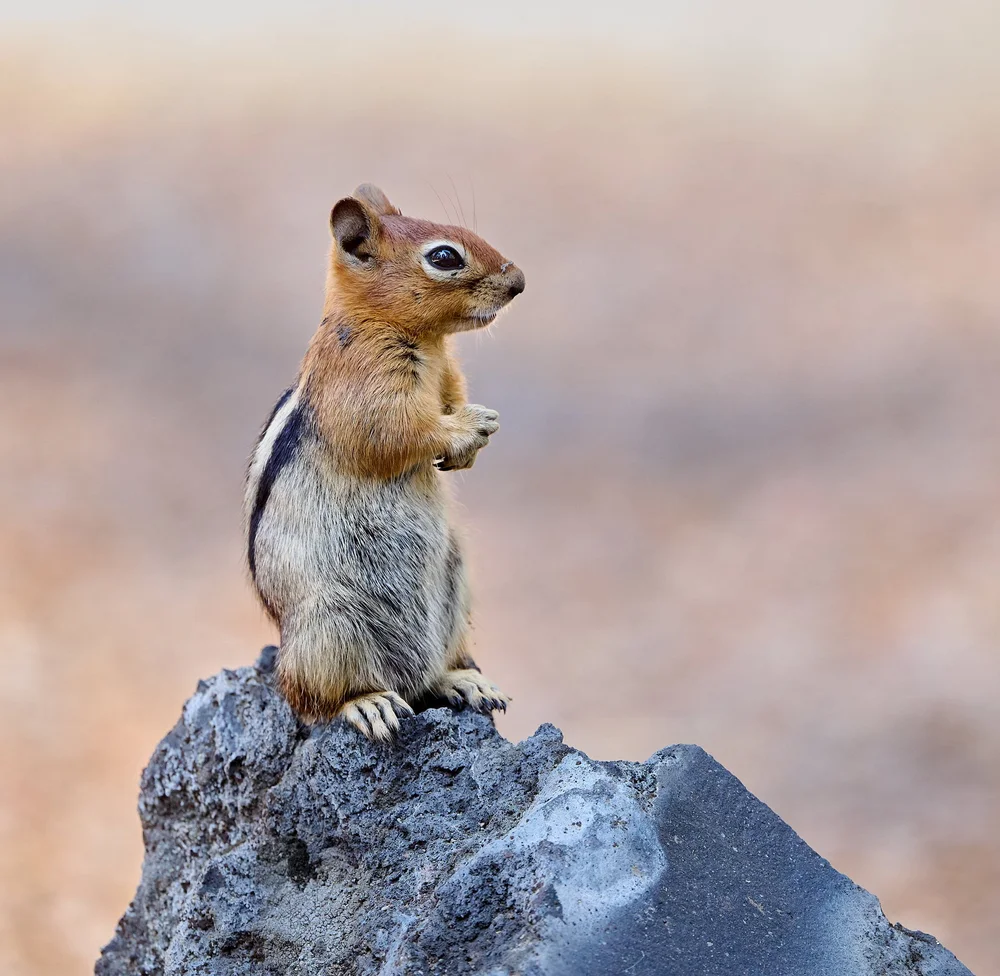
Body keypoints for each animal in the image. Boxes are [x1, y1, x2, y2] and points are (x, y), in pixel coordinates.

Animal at [245, 184, 525, 741]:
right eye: (444, 257)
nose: (519, 281)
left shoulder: (448, 374)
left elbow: (448, 403)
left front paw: (471, 443)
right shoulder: (365, 382)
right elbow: (395, 432)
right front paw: (472, 427)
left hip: (454, 584)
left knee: (429, 675)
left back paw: (462, 680)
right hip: (327, 628)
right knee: (314, 699)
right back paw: (368, 703)